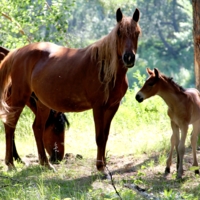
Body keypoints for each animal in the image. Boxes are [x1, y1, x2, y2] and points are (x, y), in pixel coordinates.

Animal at [0, 7, 141, 173]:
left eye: (137, 32)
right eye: (119, 33)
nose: (129, 57)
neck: (105, 68)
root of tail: (16, 53)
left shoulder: (113, 107)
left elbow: (105, 136)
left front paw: (105, 166)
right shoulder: (98, 107)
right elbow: (99, 137)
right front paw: (100, 167)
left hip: (42, 104)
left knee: (37, 128)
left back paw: (46, 164)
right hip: (19, 97)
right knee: (10, 126)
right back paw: (11, 164)